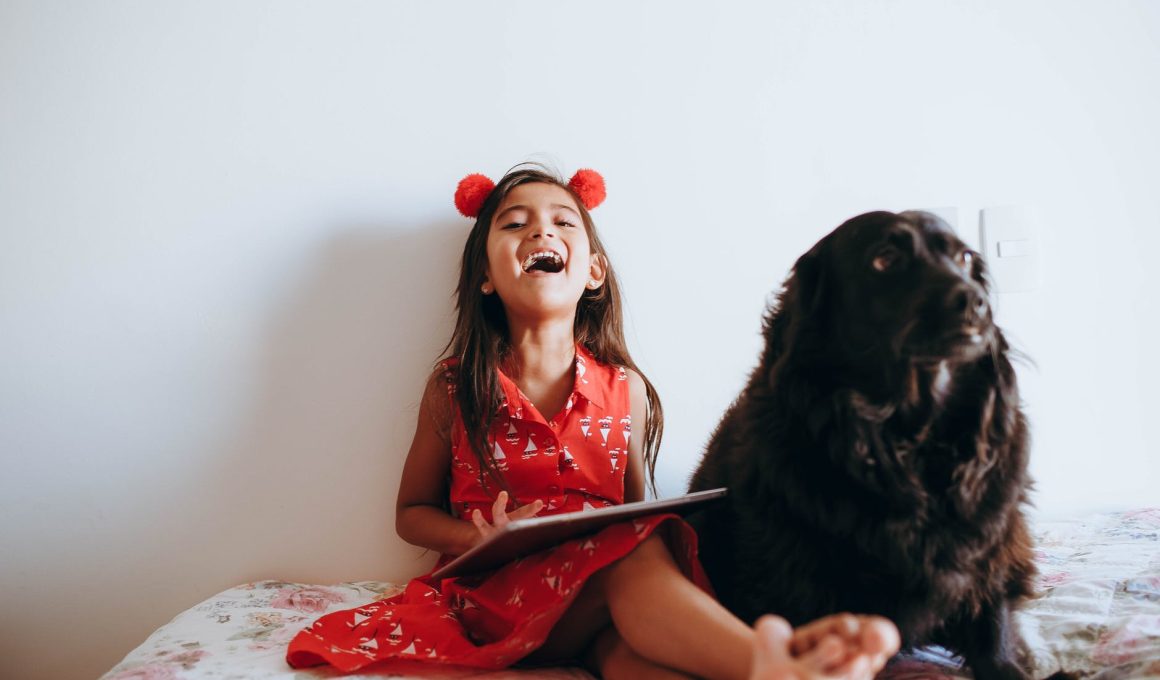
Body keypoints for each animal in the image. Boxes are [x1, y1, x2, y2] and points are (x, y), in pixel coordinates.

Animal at [686, 210, 1044, 677]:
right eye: (885, 258)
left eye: (965, 257)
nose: (975, 302)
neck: (909, 440)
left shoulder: (990, 547)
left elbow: (993, 622)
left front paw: (1007, 664)